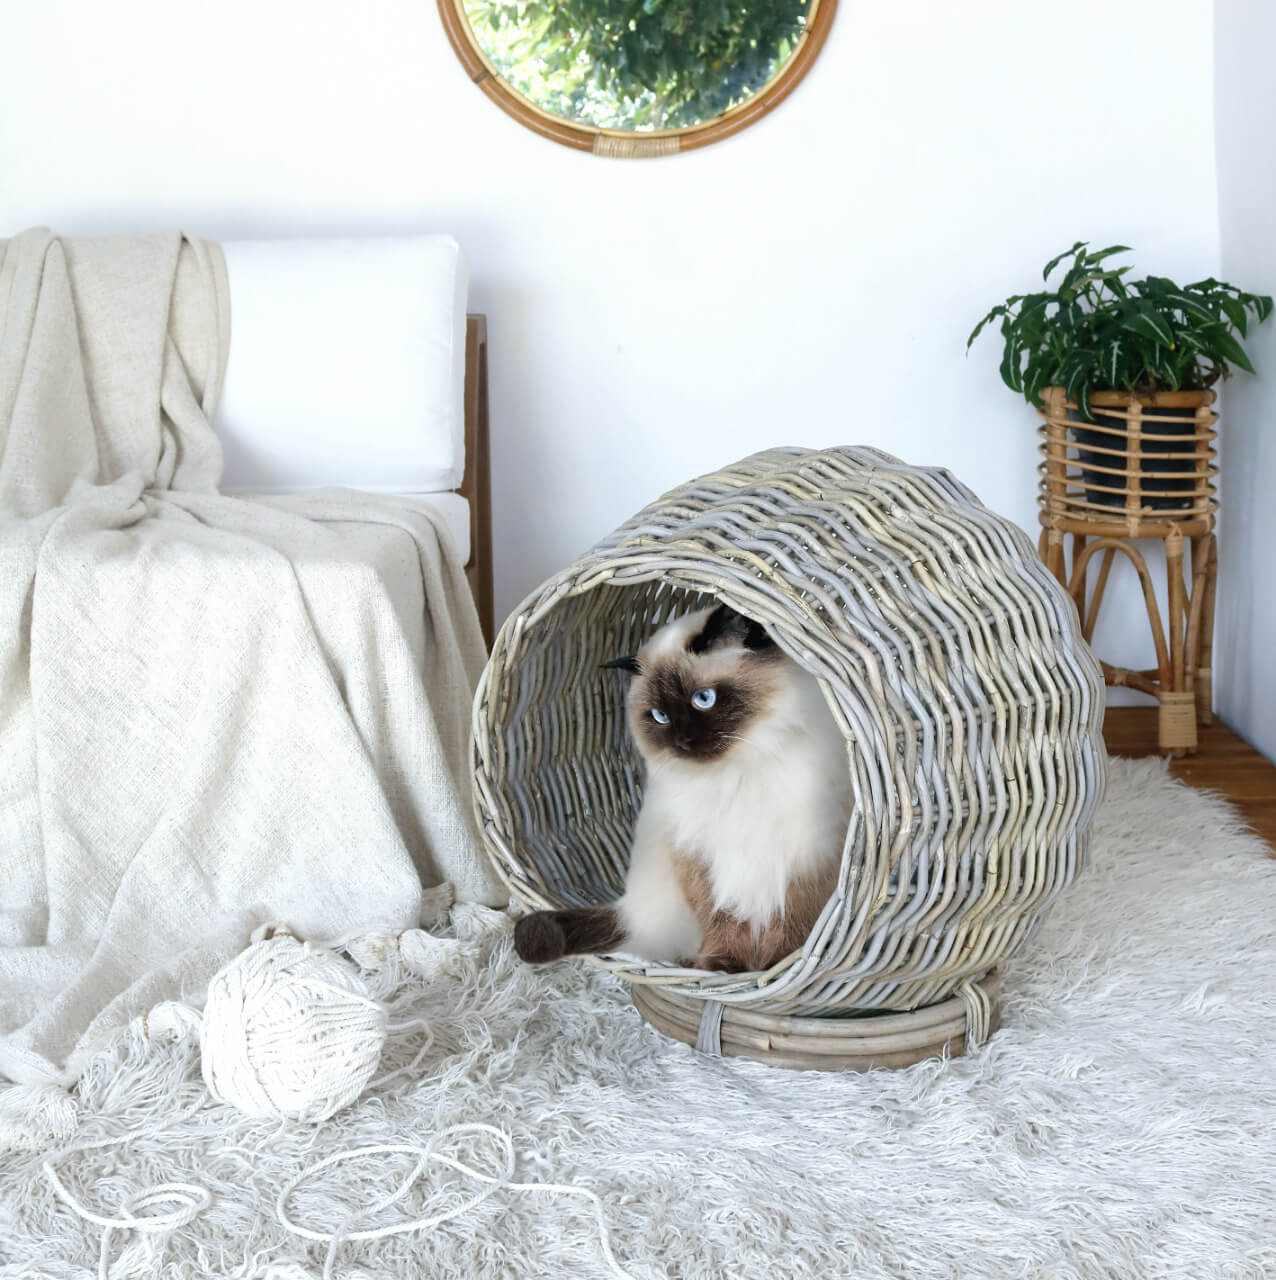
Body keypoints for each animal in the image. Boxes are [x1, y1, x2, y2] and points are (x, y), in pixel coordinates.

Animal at [511, 604, 849, 972]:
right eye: (660, 716)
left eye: (704, 699)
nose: (682, 741)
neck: (735, 772)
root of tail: (628, 908)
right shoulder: (697, 856)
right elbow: (724, 923)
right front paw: (724, 968)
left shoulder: (809, 856)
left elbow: (789, 927)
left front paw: (775, 968)